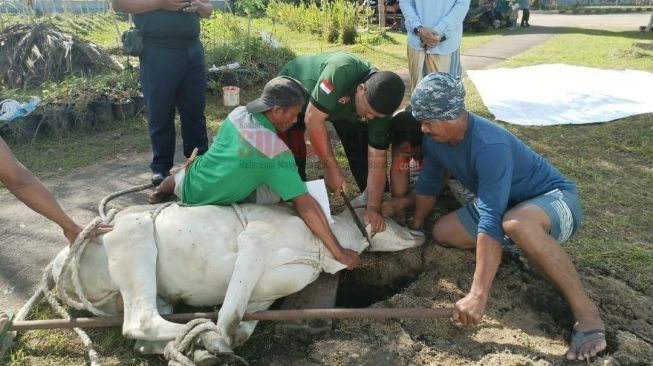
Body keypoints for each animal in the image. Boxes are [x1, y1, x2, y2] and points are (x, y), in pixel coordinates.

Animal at [49, 204, 422, 358]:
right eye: (392, 218)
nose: (421, 231)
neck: (321, 244)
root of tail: (56, 266)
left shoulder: (266, 295)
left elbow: (239, 330)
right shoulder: (254, 242)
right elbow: (228, 320)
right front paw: (211, 343)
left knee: (144, 329)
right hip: (133, 235)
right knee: (140, 321)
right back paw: (202, 336)